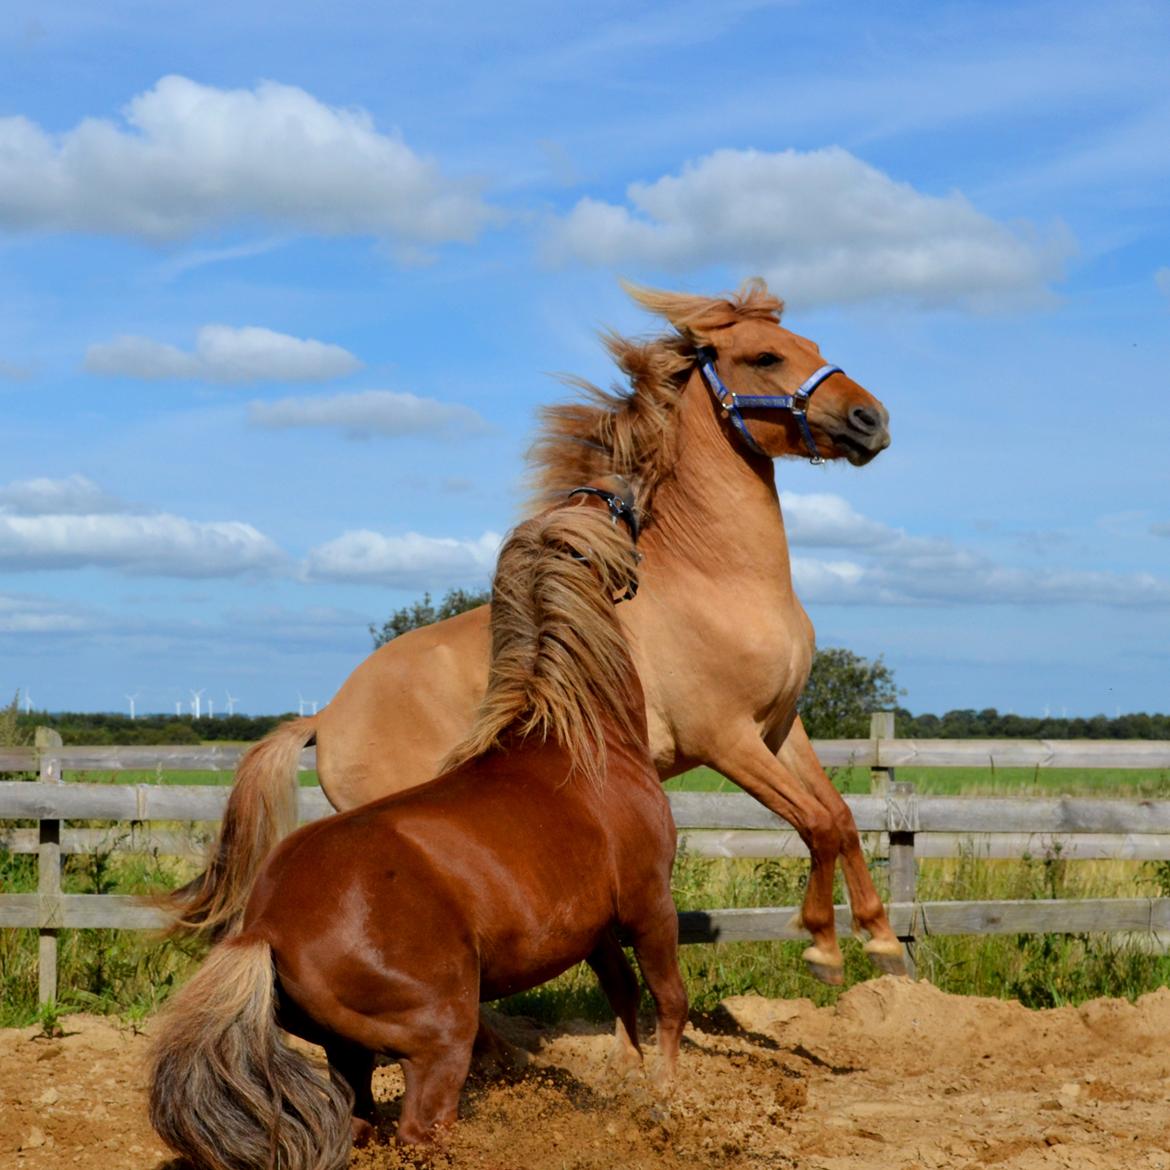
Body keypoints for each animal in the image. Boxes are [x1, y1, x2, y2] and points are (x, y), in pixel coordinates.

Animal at [146, 482, 683, 1160]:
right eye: (613, 513)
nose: (626, 492)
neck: (582, 744)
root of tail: (264, 928)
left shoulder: (595, 927)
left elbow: (623, 992)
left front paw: (630, 1084)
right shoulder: (648, 902)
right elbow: (668, 1000)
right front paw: (666, 1098)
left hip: (347, 1053)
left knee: (358, 1123)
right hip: (440, 1036)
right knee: (422, 1130)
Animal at [160, 278, 898, 982]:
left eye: (809, 341)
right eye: (766, 356)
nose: (873, 420)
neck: (718, 579)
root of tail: (325, 717)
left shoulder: (780, 728)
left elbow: (840, 817)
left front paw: (882, 940)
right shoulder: (725, 740)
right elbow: (815, 825)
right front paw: (823, 949)